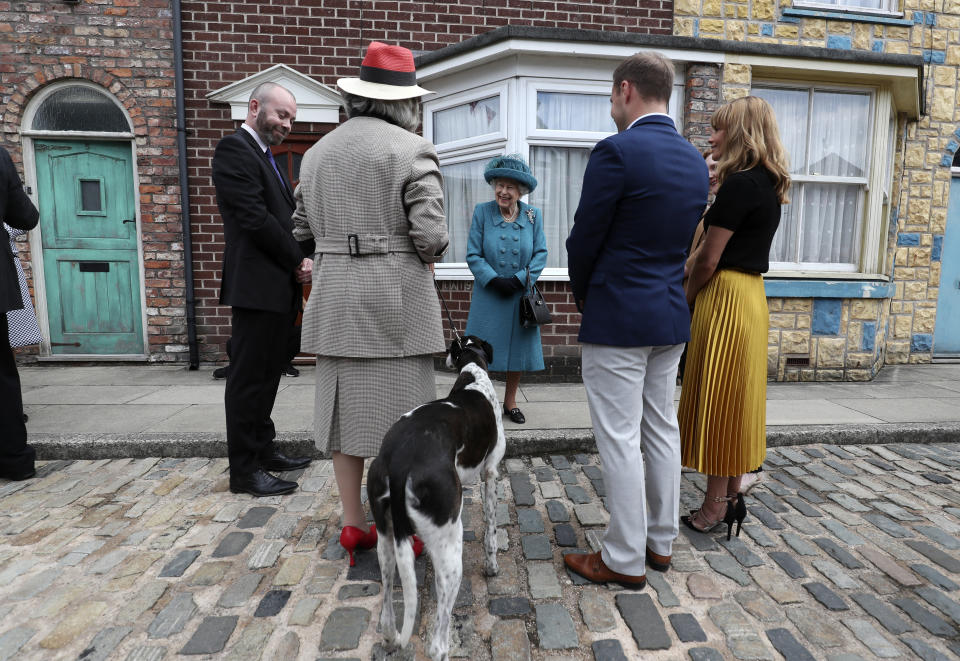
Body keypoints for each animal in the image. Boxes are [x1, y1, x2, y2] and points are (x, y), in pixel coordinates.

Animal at [366, 338, 506, 656]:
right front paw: (492, 567)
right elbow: (491, 530)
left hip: (386, 541)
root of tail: (401, 460)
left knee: (387, 617)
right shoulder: (491, 472)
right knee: (438, 645)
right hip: (451, 552)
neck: (473, 374)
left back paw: (390, 639)